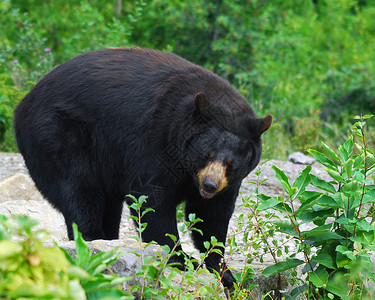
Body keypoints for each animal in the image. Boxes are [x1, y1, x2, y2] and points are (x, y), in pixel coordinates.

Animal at [13, 47, 274, 290]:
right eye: (206, 154)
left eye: (231, 163)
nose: (210, 185)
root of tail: (23, 103)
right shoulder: (156, 140)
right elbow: (152, 200)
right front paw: (181, 259)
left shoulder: (225, 183)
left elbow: (211, 216)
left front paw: (223, 270)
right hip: (57, 134)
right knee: (79, 189)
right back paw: (92, 241)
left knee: (106, 204)